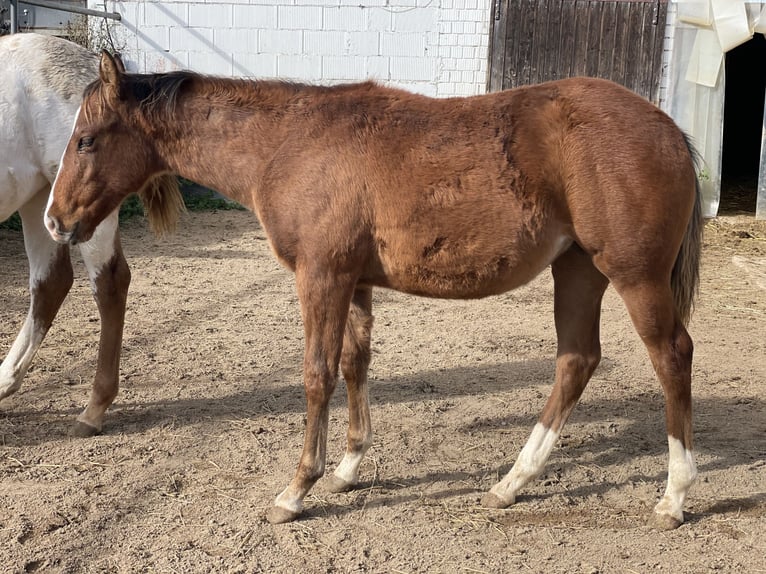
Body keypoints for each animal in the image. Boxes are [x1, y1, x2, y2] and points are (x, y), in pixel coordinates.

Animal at [43, 54, 704, 532]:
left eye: (86, 140)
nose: (54, 221)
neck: (286, 145)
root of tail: (671, 129)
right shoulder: (354, 282)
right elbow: (355, 364)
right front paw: (348, 467)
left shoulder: (321, 277)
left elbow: (317, 376)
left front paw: (297, 489)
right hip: (578, 270)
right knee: (576, 360)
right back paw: (511, 483)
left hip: (635, 275)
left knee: (672, 356)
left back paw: (673, 496)